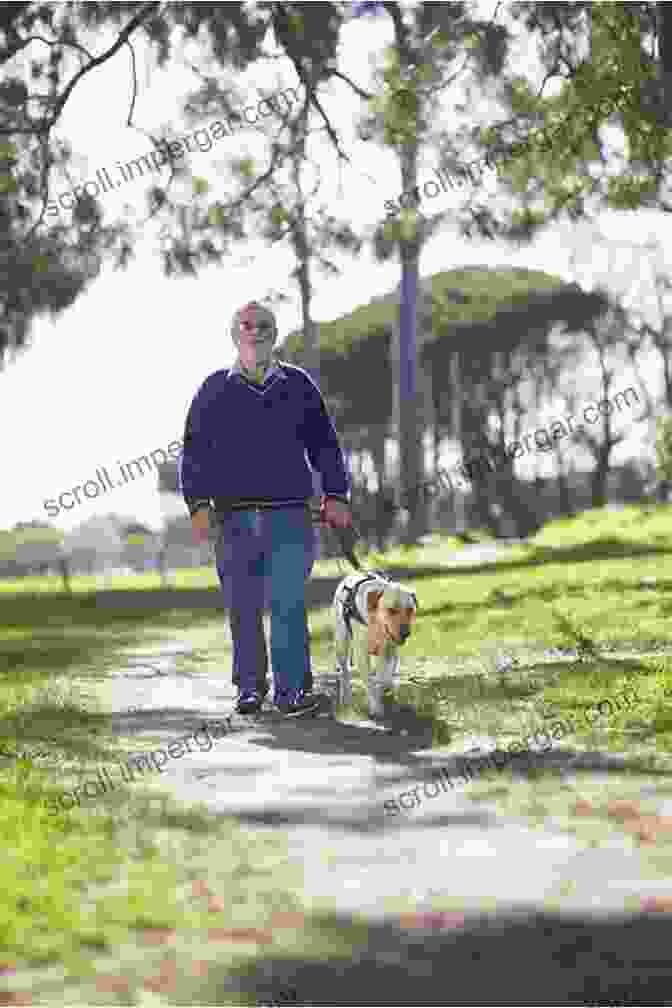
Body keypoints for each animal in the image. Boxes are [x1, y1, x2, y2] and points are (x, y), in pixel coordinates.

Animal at [334, 572, 417, 721]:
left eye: (410, 610)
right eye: (391, 610)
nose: (406, 633)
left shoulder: (388, 650)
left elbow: (383, 677)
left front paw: (384, 690)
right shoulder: (361, 655)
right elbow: (370, 682)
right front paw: (376, 707)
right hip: (341, 644)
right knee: (344, 671)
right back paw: (346, 697)